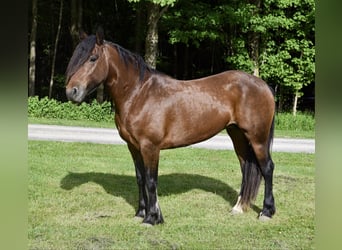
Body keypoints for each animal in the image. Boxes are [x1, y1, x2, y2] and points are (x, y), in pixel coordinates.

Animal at [65, 28, 276, 225]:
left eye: (93, 58)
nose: (71, 92)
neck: (138, 94)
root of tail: (263, 85)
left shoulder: (150, 147)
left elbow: (151, 181)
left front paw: (152, 218)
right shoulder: (133, 147)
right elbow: (140, 179)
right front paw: (140, 213)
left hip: (257, 138)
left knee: (267, 168)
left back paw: (266, 212)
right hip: (237, 135)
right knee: (246, 167)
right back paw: (239, 207)